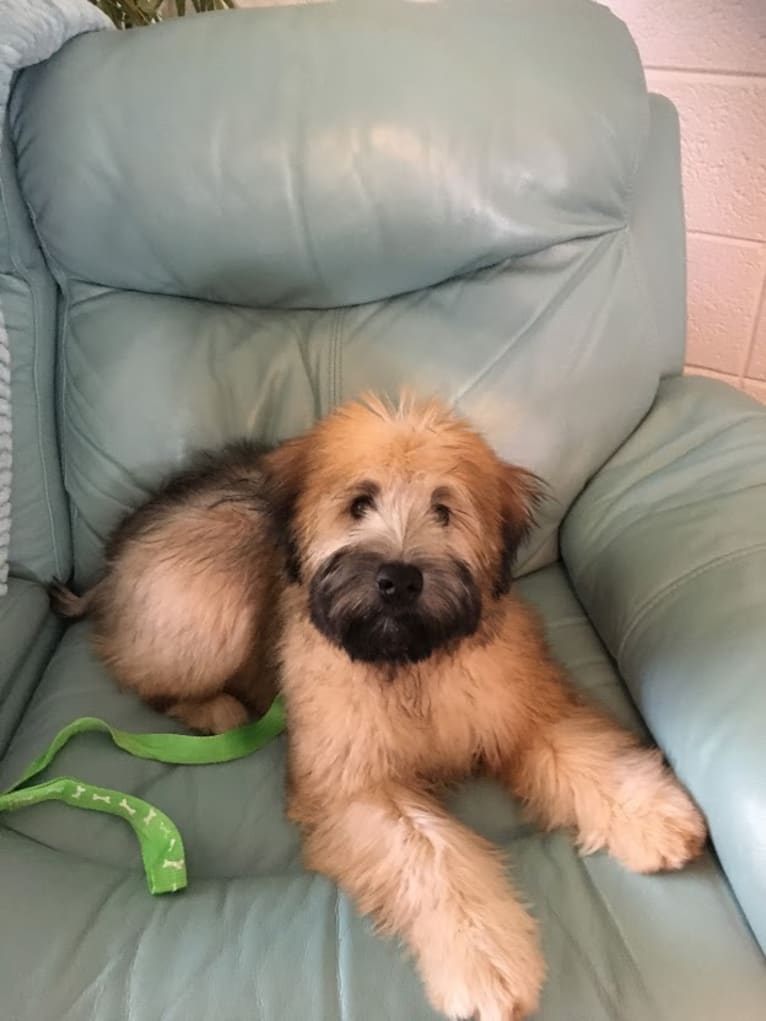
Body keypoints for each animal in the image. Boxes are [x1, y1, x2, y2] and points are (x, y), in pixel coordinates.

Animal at [52, 396, 706, 1021]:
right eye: (359, 504)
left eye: (443, 509)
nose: (398, 578)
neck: (408, 664)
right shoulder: (356, 784)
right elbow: (431, 856)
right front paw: (485, 962)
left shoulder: (521, 706)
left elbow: (578, 751)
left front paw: (649, 812)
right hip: (210, 604)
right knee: (136, 666)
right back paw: (213, 709)